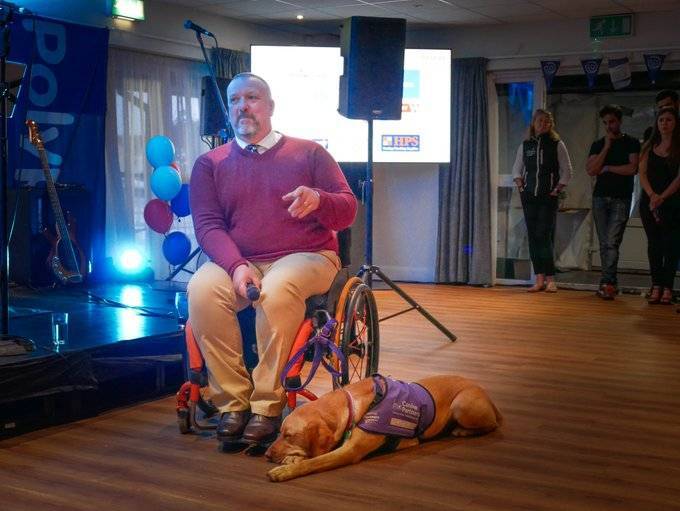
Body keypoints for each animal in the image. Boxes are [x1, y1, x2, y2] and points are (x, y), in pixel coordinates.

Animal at [264, 374, 500, 482]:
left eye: (289, 435)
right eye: (280, 433)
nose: (266, 454)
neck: (350, 404)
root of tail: (486, 394)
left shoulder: (350, 451)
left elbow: (315, 461)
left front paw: (285, 470)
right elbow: (315, 455)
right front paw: (292, 459)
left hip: (461, 405)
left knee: (492, 425)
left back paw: (463, 430)